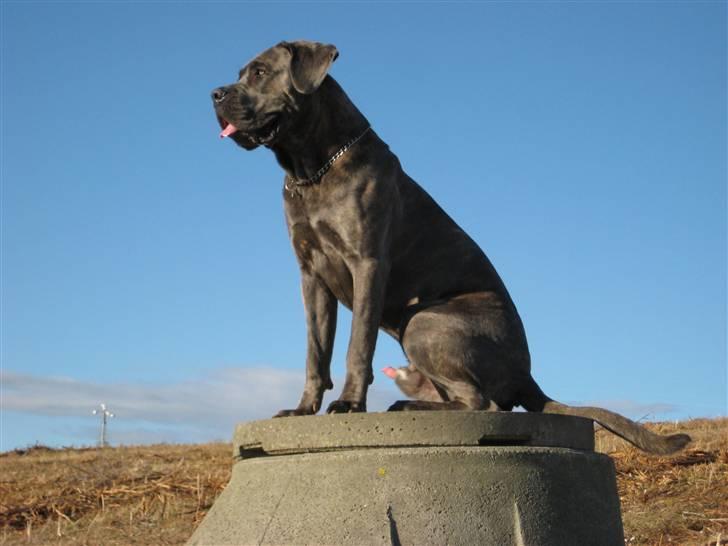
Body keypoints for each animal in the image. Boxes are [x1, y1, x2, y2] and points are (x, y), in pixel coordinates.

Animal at [213, 40, 692, 452]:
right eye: (240, 73)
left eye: (259, 72)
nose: (215, 93)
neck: (313, 169)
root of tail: (527, 375)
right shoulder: (311, 275)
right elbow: (316, 351)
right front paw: (301, 409)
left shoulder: (367, 263)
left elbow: (356, 344)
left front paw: (349, 404)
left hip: (425, 322)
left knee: (485, 403)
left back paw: (408, 405)